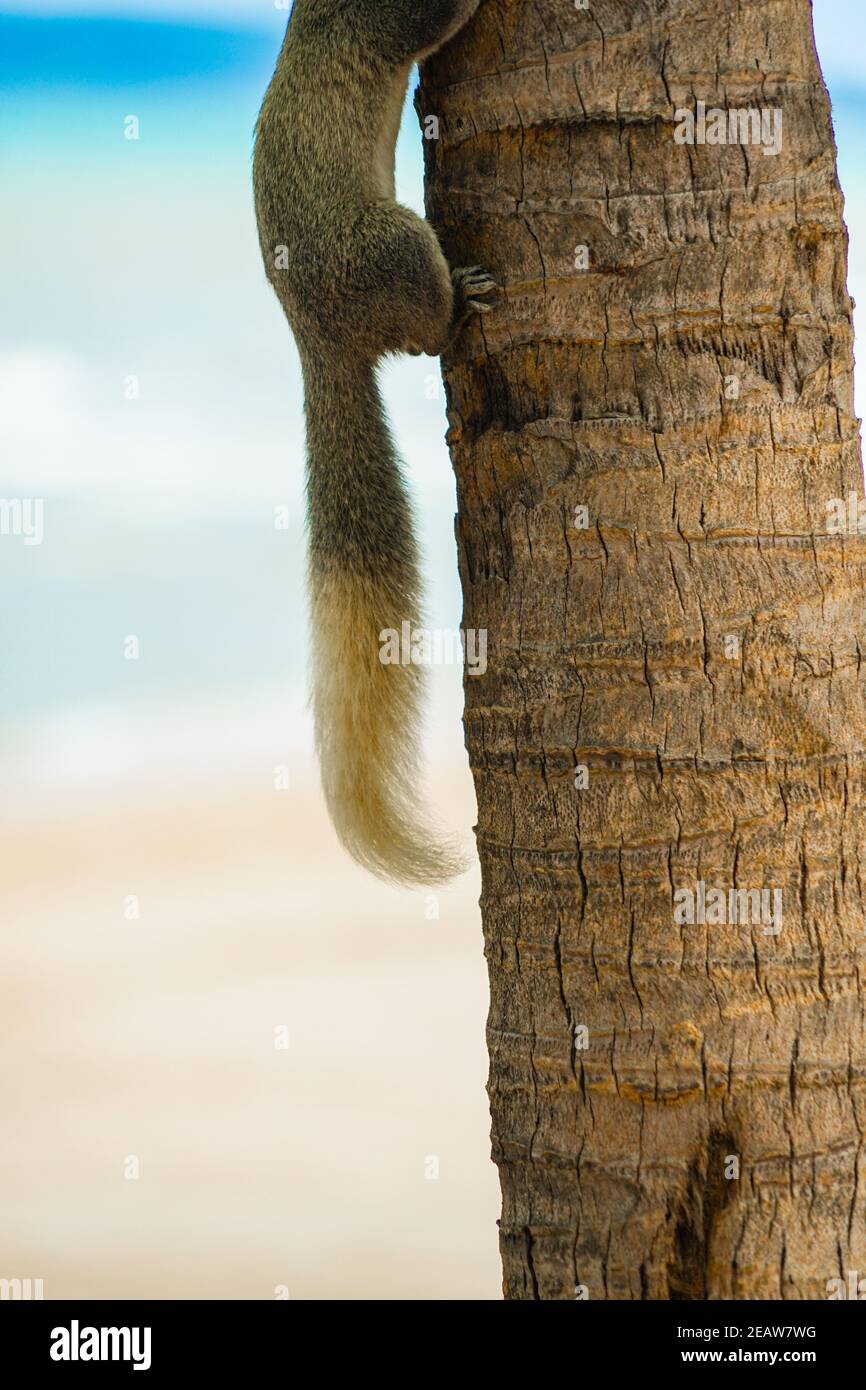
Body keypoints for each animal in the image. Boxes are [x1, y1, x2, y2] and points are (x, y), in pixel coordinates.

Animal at [252, 0, 494, 884]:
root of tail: (317, 337)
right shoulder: (385, 16)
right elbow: (442, 16)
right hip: (394, 247)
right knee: (426, 331)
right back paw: (461, 304)